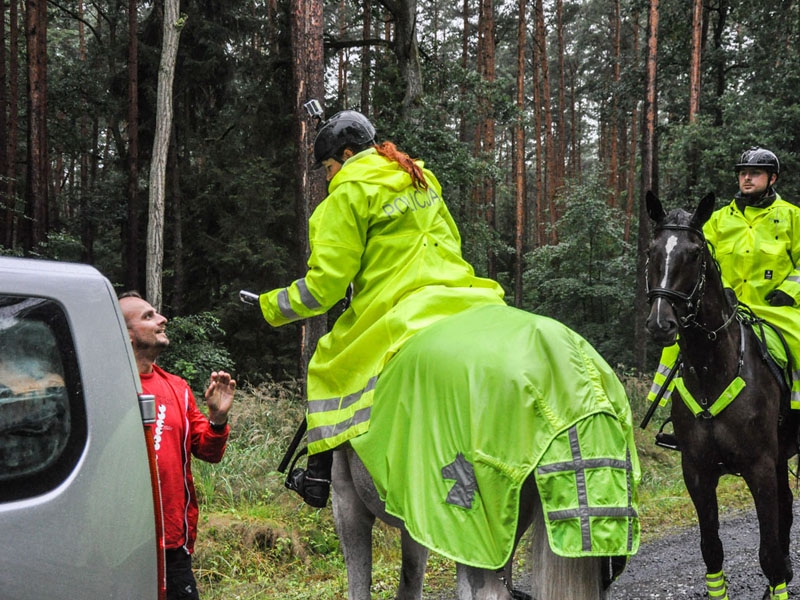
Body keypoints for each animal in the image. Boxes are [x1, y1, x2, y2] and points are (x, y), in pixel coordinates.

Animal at [648, 191, 796, 600]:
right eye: (652, 250)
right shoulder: (697, 471)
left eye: (695, 253)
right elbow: (711, 549)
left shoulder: (760, 467)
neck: (712, 370)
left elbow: (768, 554)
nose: (661, 323)